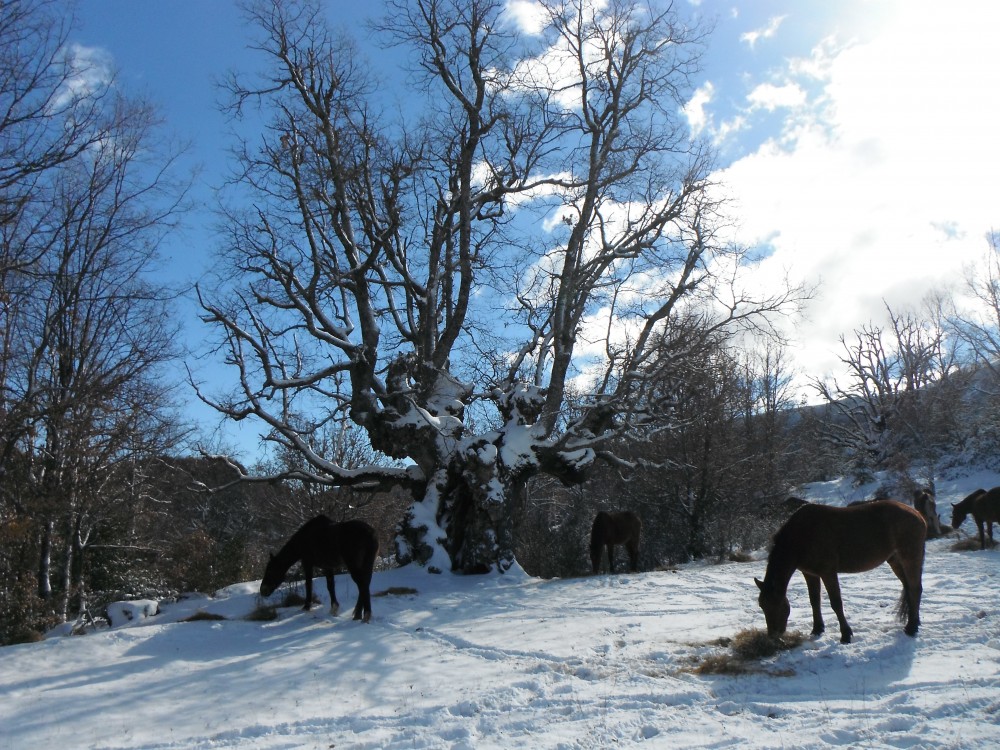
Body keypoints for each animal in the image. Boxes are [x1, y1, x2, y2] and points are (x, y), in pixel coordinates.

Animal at [752, 500, 924, 648]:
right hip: (895, 560)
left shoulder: (828, 573)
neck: (803, 534)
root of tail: (918, 514)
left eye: (776, 604)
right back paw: (913, 623)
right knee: (909, 588)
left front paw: (845, 635)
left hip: (910, 558)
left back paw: (911, 628)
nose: (773, 636)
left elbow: (836, 603)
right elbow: (814, 600)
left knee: (915, 588)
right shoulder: (810, 574)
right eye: (762, 605)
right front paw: (817, 629)